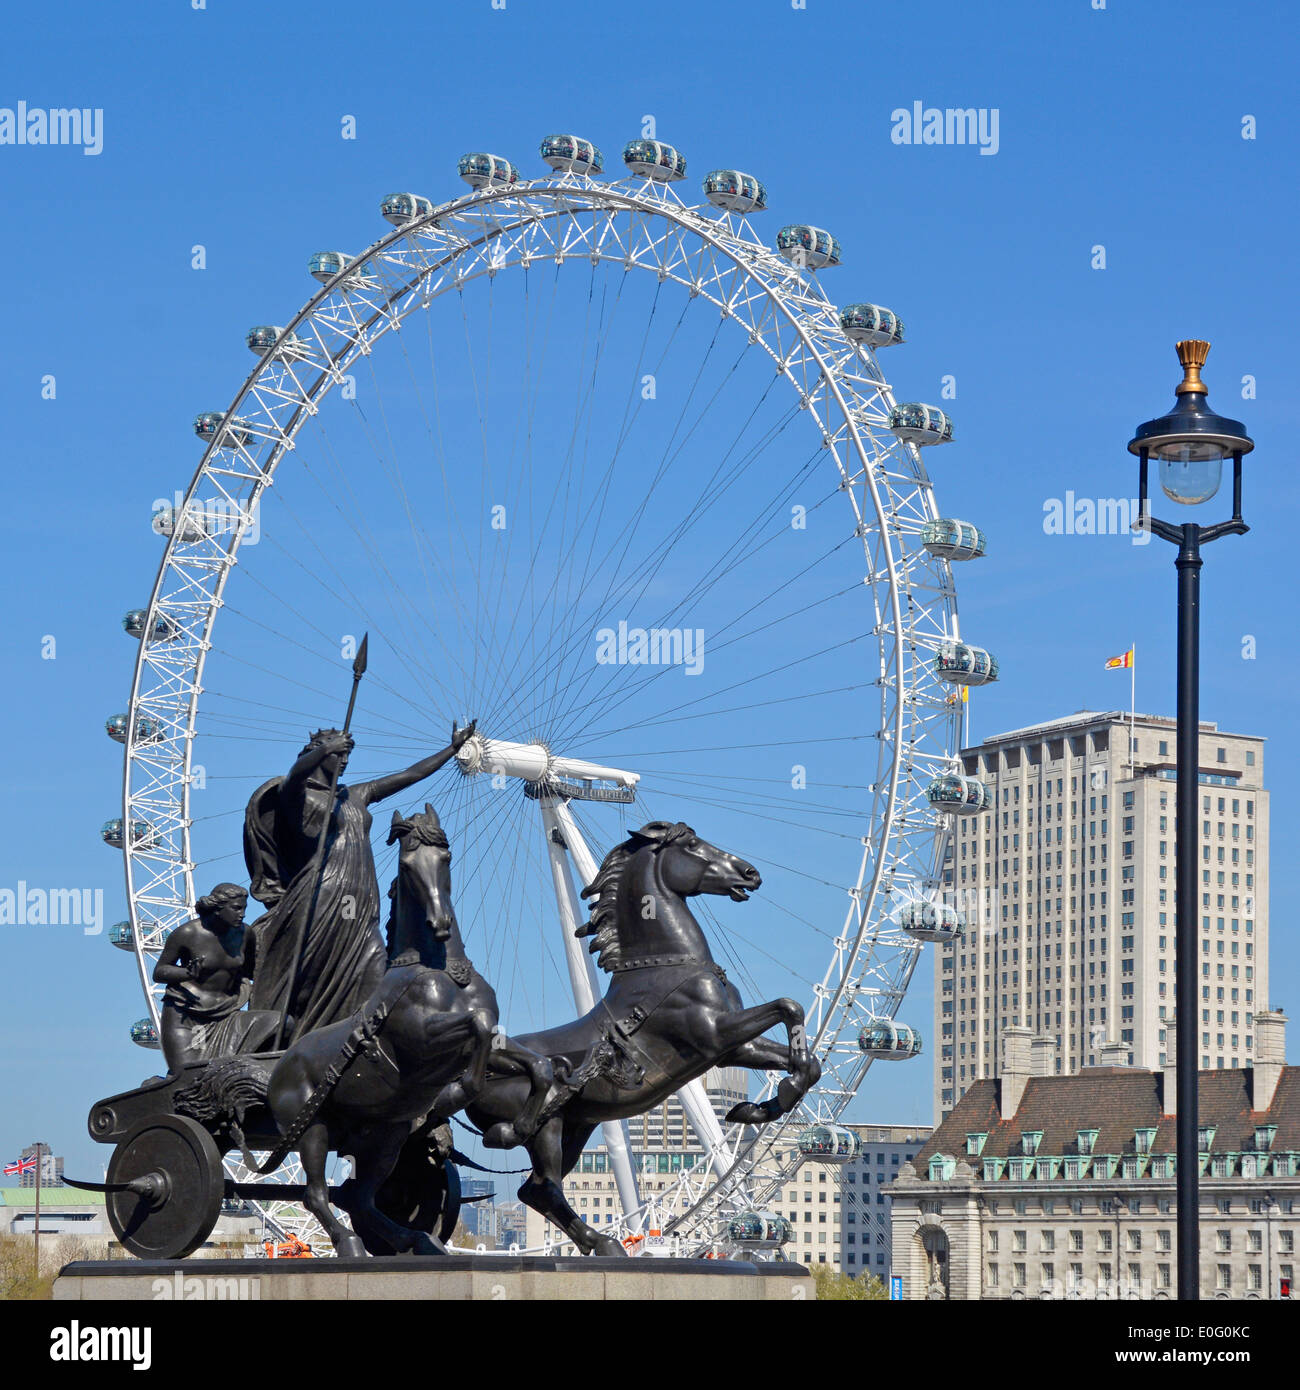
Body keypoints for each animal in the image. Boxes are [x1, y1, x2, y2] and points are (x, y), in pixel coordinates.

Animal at [461, 817, 817, 1256]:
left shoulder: (731, 1049)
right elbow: (788, 1006)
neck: (667, 965)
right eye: (693, 844)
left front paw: (758, 1108)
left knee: (537, 1190)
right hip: (546, 1127)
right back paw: (604, 1241)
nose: (750, 873)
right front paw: (769, 1101)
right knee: (543, 1184)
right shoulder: (714, 1034)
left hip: (576, 1125)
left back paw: (601, 1241)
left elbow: (805, 1054)